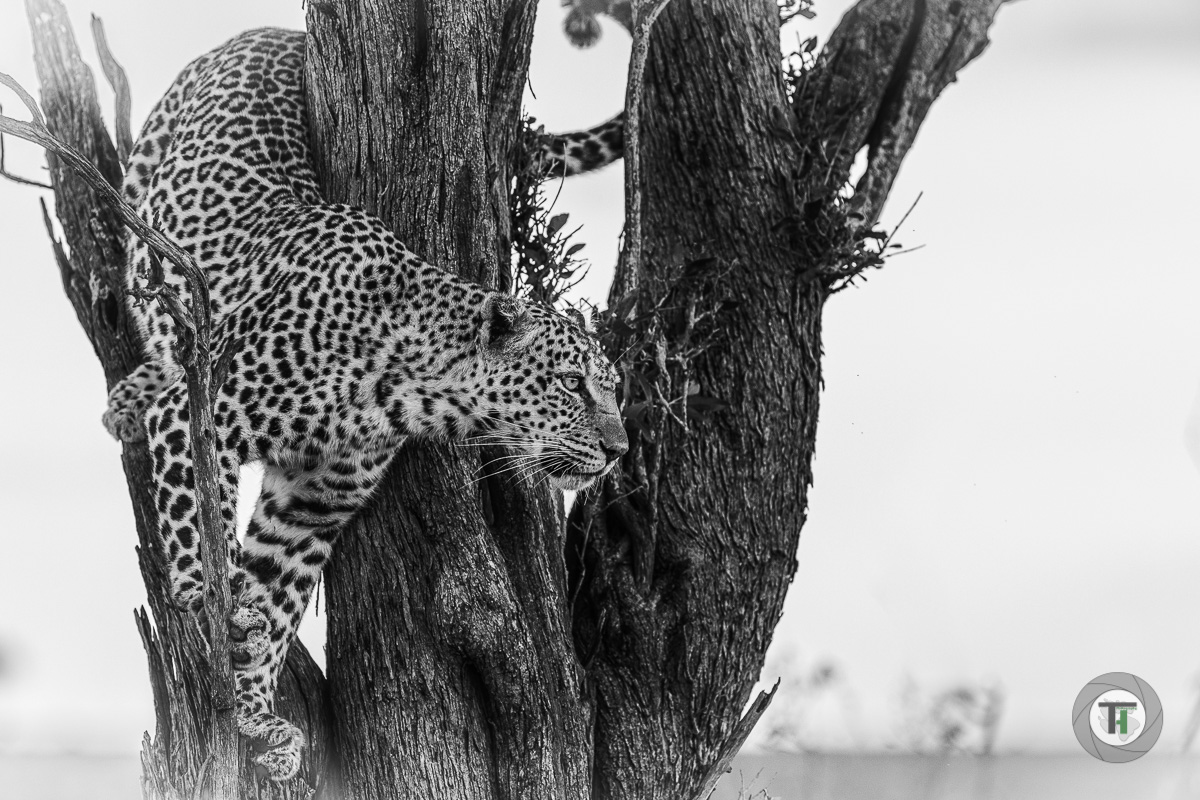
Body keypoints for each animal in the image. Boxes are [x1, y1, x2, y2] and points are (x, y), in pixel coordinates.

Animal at [105, 26, 628, 782]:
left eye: (611, 389)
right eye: (571, 383)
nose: (619, 450)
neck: (410, 386)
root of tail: (282, 31)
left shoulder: (313, 502)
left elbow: (278, 595)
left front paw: (257, 713)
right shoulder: (202, 417)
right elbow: (202, 522)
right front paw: (209, 598)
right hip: (143, 188)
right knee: (143, 288)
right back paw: (136, 388)